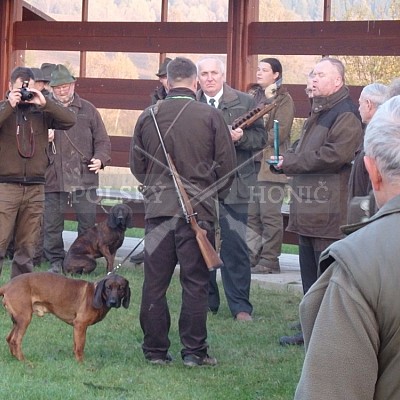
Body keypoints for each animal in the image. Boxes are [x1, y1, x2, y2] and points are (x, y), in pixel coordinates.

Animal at [0, 272, 130, 362]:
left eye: (121, 288)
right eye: (108, 287)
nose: (113, 302)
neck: (95, 295)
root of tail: (7, 285)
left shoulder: (77, 328)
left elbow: (76, 345)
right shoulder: (80, 325)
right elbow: (80, 347)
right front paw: (81, 363)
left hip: (17, 321)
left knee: (9, 338)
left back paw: (15, 358)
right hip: (24, 319)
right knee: (15, 340)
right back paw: (24, 361)